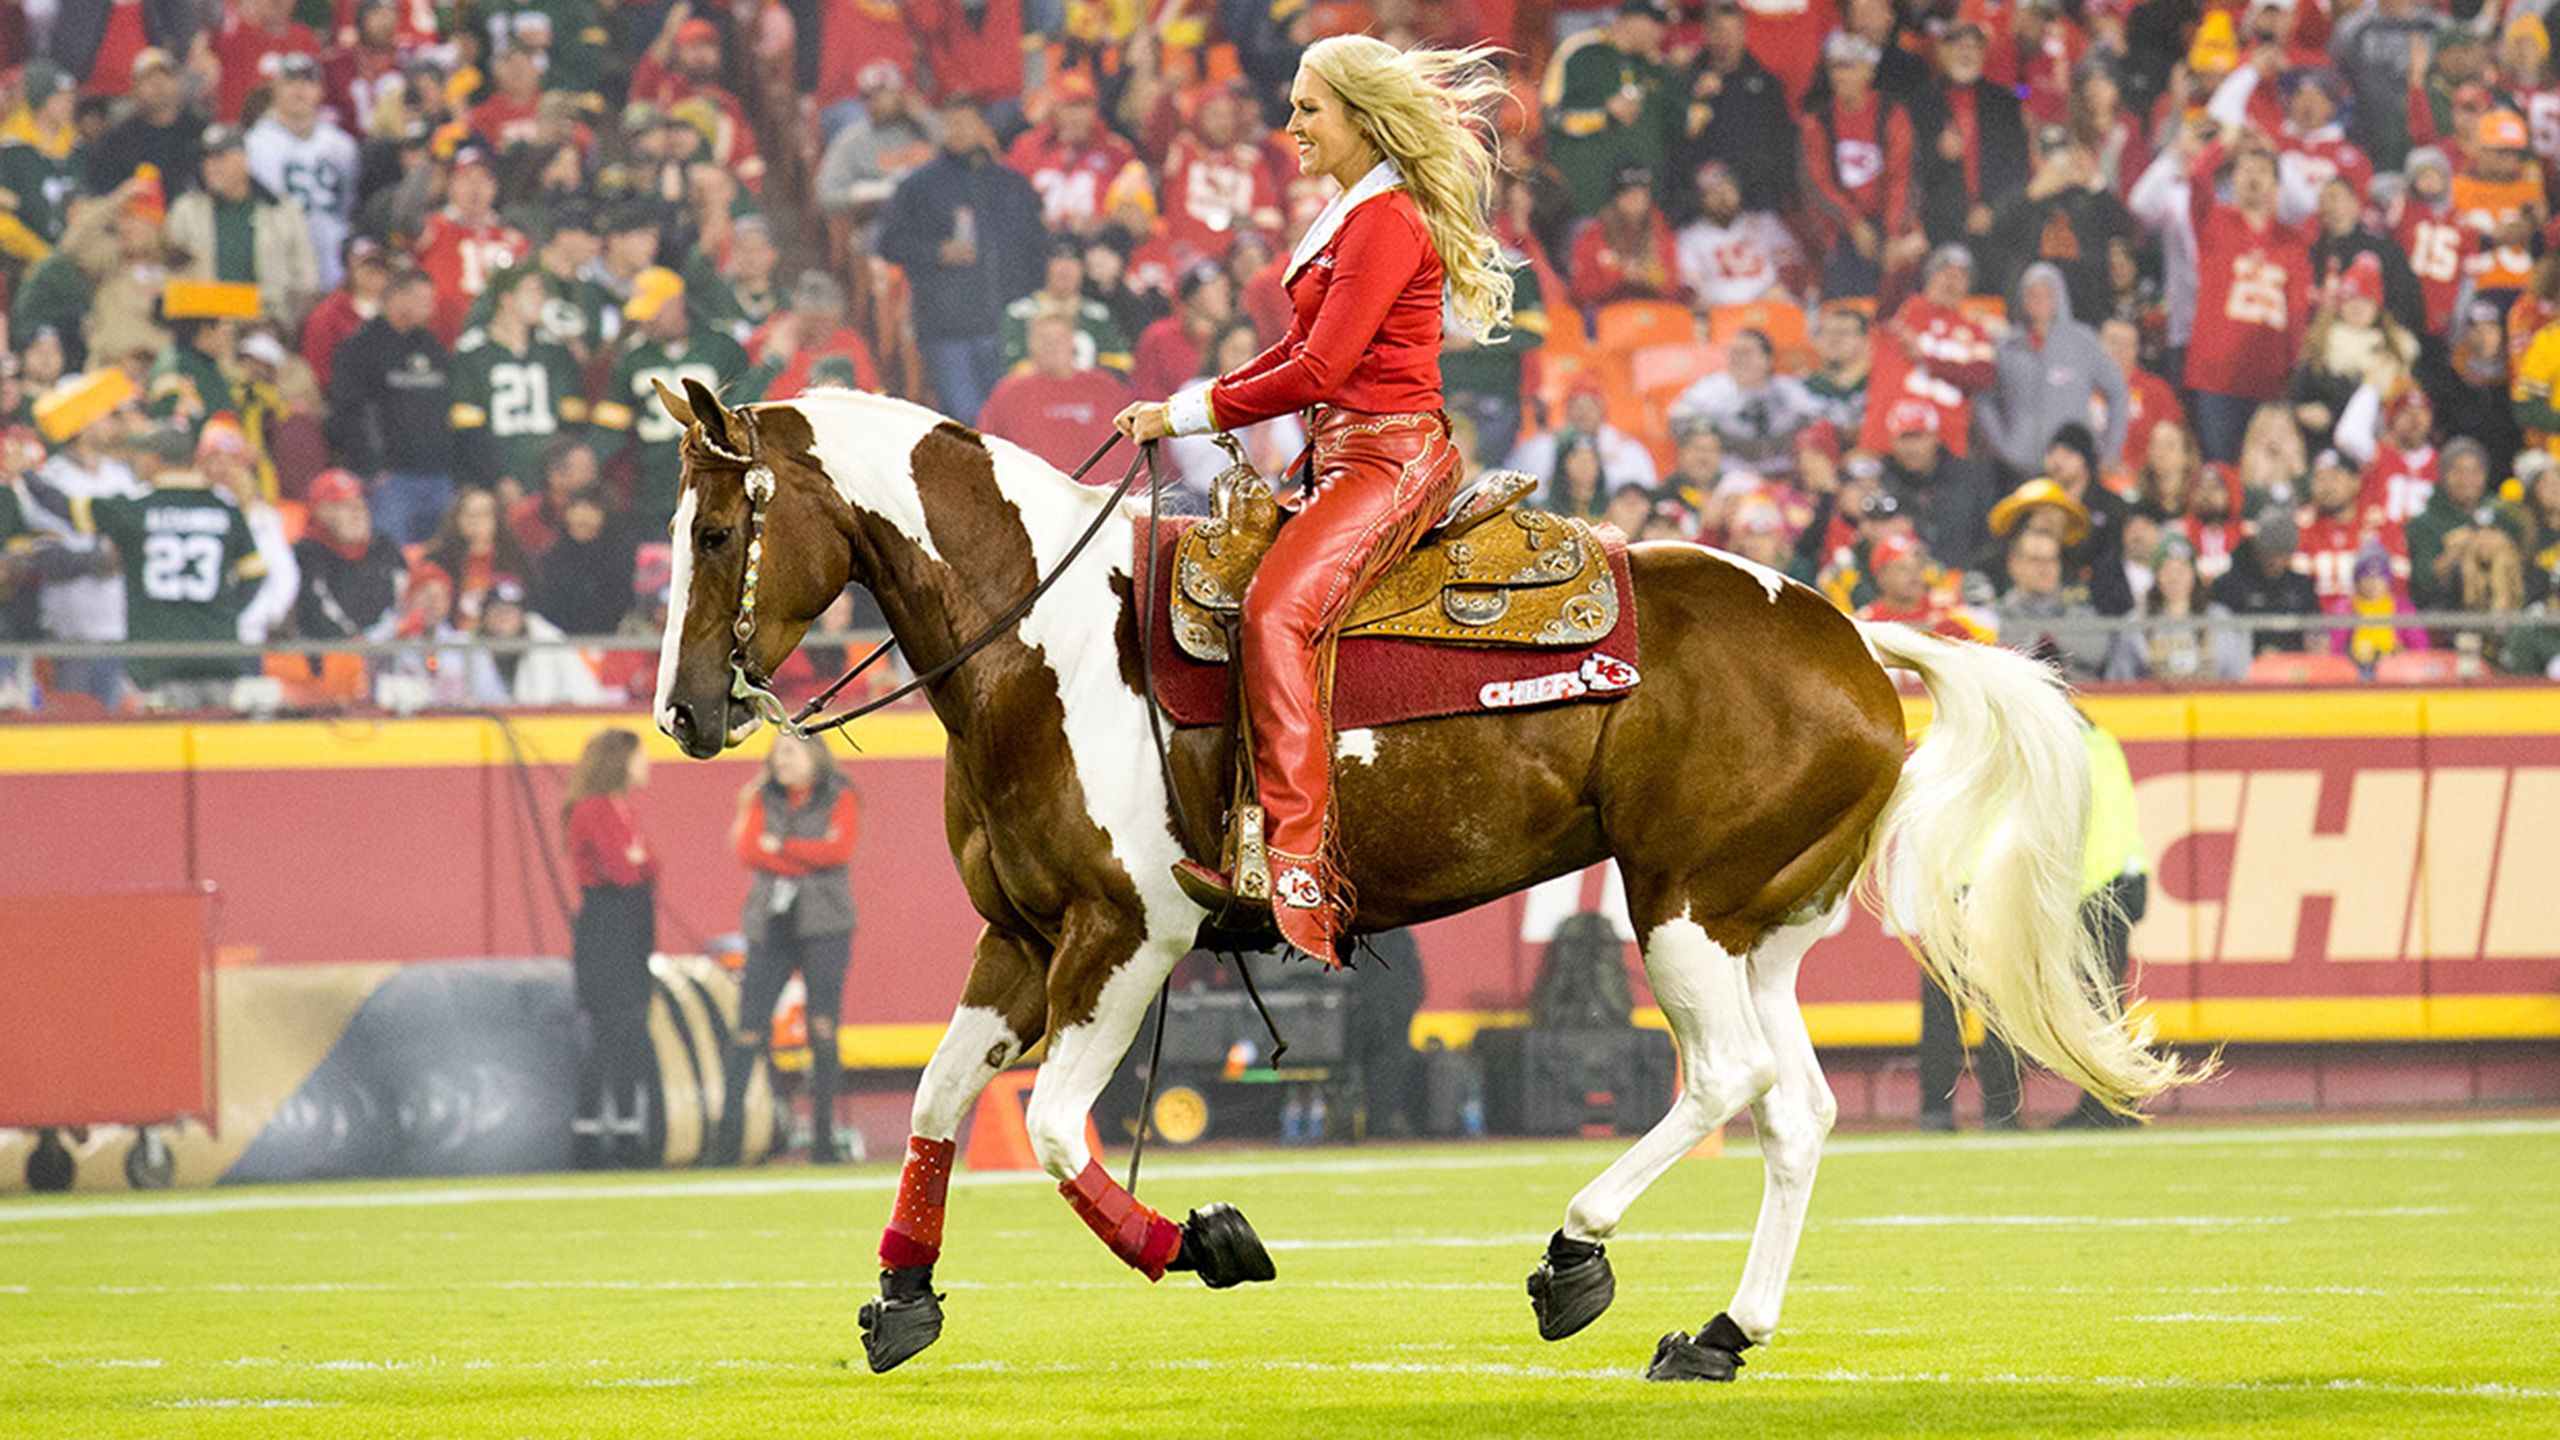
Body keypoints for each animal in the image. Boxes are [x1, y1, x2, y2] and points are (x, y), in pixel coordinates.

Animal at [650, 379, 2191, 1383]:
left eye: (719, 533)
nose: (683, 713)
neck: (1048, 642)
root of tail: (1863, 637)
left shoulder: (1125, 936)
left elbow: (1052, 1131)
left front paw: (1204, 1241)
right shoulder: (1018, 938)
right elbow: (935, 1101)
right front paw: (902, 1295)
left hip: (1679, 906)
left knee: (1726, 1082)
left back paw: (1576, 1254)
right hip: (1761, 930)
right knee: (1798, 1111)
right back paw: (1720, 1334)